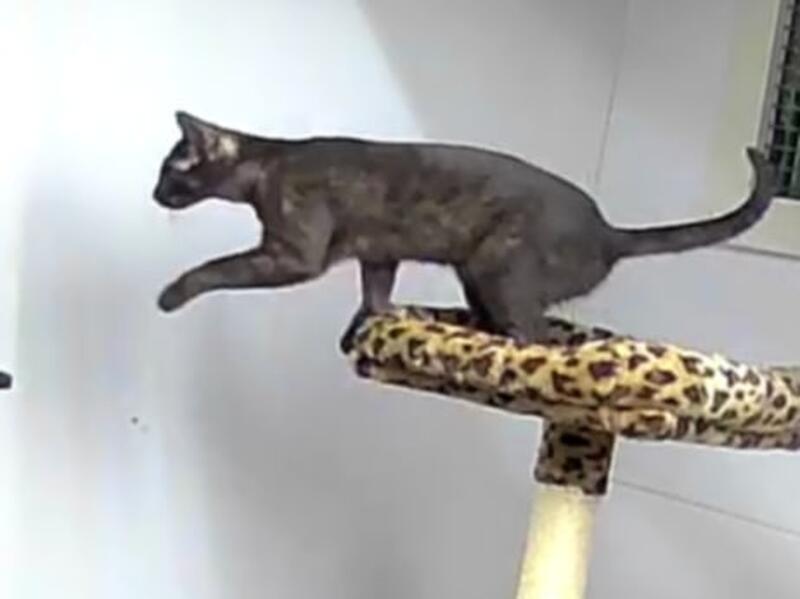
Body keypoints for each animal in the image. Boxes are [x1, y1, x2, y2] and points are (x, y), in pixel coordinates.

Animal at [152, 111, 776, 347]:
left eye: (169, 171)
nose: (153, 194)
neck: (271, 164)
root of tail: (609, 232)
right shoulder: (379, 253)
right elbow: (375, 296)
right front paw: (366, 328)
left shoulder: (292, 255)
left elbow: (215, 269)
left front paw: (170, 295)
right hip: (475, 274)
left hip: (498, 267)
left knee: (540, 337)